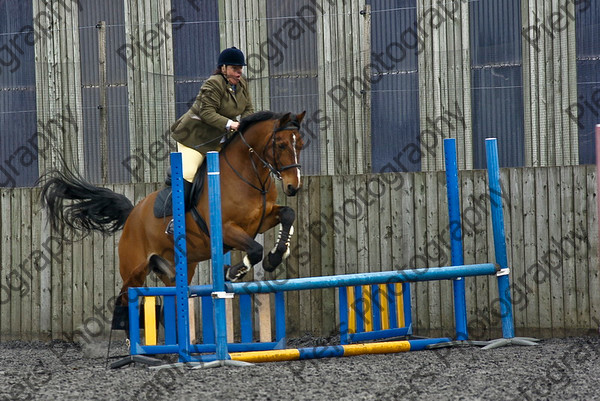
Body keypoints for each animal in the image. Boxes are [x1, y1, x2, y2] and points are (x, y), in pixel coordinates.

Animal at [39, 109, 308, 304]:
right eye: (281, 145)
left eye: (301, 144)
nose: (293, 187)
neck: (249, 175)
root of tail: (132, 214)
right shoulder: (226, 229)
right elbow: (254, 249)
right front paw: (234, 272)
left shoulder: (260, 220)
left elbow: (288, 214)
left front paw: (275, 257)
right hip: (133, 270)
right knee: (127, 297)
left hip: (177, 268)